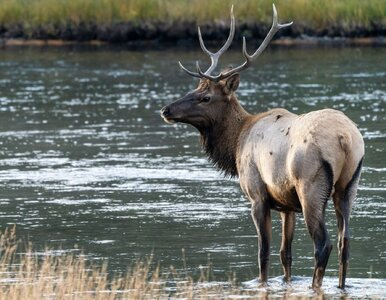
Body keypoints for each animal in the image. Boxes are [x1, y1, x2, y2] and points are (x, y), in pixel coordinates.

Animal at [160, 4, 364, 290]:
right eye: (195, 88)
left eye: (205, 97)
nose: (166, 110)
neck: (236, 142)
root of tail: (345, 138)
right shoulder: (287, 205)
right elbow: (285, 254)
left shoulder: (257, 194)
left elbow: (263, 252)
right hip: (348, 187)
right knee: (345, 242)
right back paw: (341, 286)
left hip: (310, 186)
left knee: (323, 244)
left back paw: (315, 286)